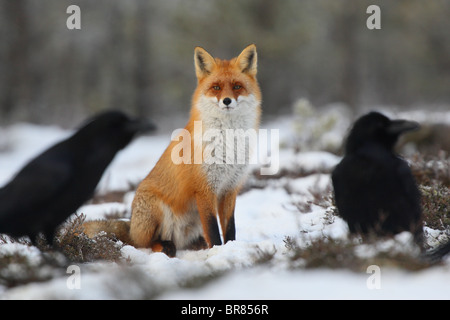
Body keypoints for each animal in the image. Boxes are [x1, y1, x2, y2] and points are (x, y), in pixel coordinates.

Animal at [82, 44, 262, 258]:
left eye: (236, 86)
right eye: (216, 87)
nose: (227, 101)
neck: (228, 141)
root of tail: (132, 225)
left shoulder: (230, 188)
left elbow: (229, 228)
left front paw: (231, 248)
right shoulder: (204, 189)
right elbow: (213, 229)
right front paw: (218, 251)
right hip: (158, 209)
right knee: (147, 243)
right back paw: (165, 246)